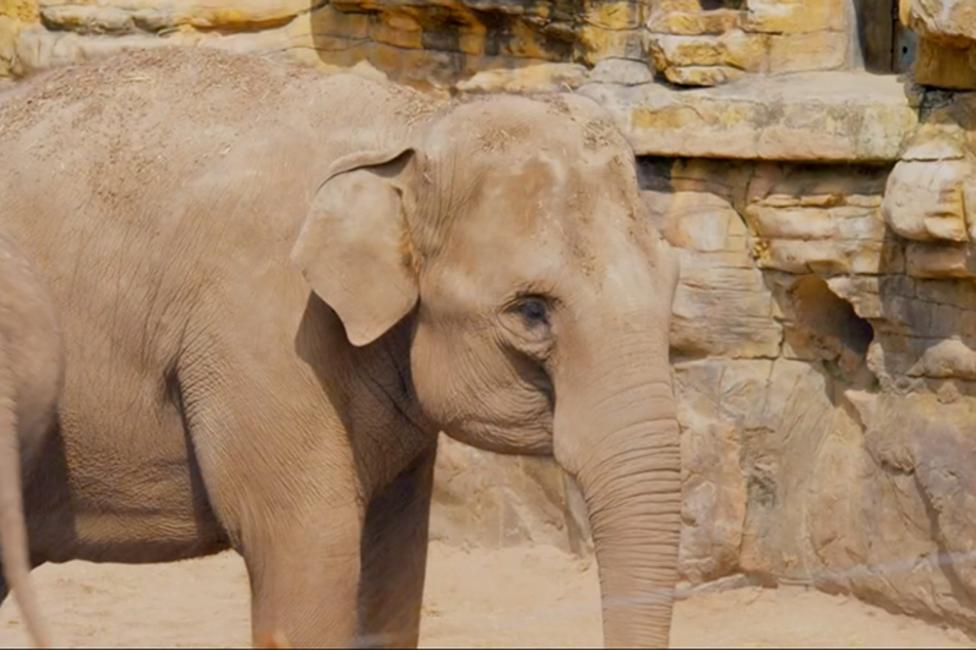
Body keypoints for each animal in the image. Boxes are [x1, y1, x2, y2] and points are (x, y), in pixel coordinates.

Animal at [0, 47, 681, 648]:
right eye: (531, 312)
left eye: (671, 287)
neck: (411, 125)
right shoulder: (261, 322)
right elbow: (308, 541)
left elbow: (396, 556)